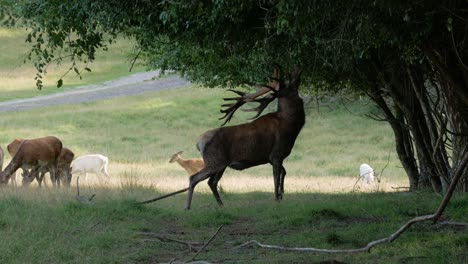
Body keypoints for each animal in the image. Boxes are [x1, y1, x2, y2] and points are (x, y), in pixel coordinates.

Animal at [185, 65, 306, 209]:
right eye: (289, 82)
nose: (297, 69)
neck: (291, 126)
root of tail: (199, 143)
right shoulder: (276, 154)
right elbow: (276, 178)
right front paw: (277, 199)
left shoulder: (273, 158)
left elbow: (284, 172)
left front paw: (282, 194)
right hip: (214, 161)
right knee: (194, 178)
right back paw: (187, 207)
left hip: (221, 165)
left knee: (211, 182)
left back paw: (221, 205)